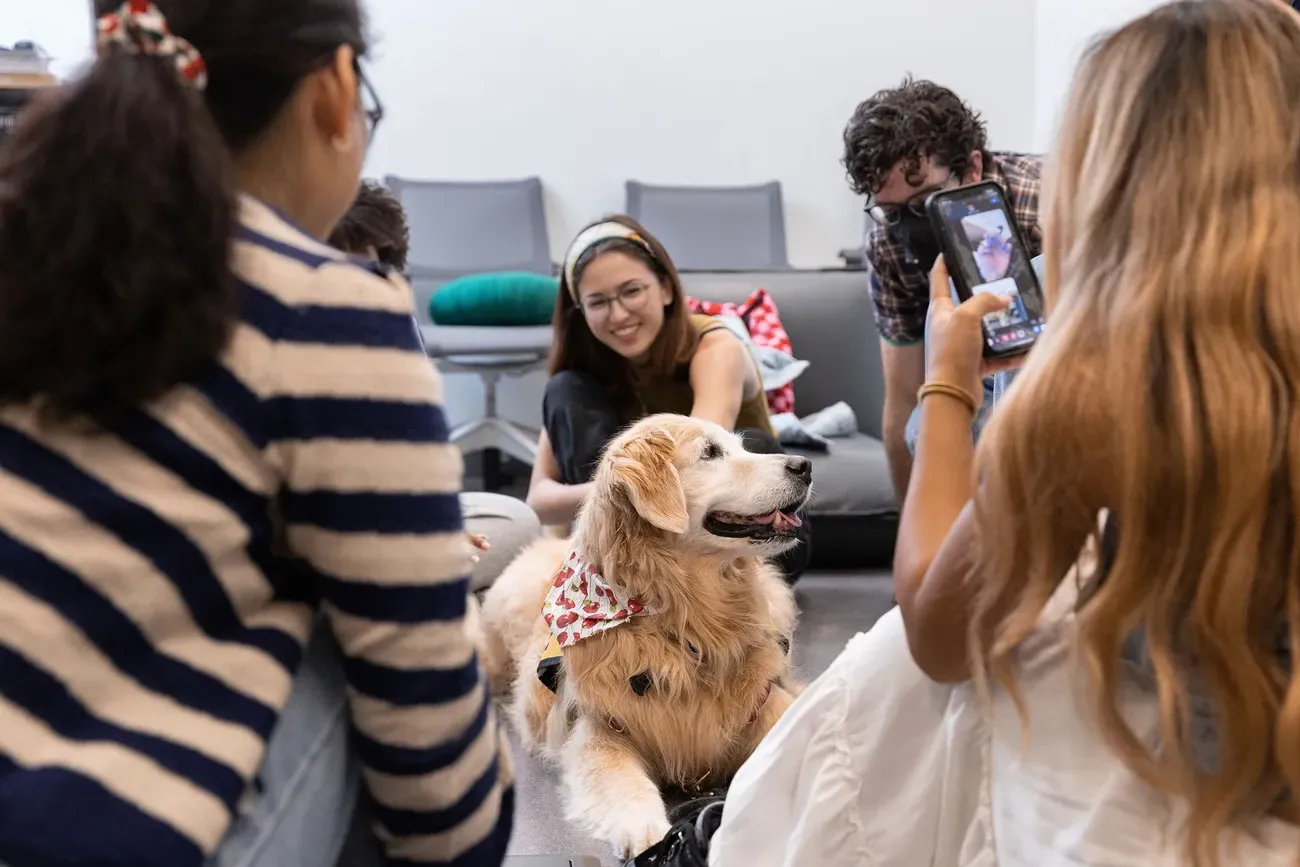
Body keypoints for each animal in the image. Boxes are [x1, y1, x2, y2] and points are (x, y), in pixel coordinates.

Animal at [480, 415, 811, 863]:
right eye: (710, 452)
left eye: (741, 447)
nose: (805, 465)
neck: (690, 622)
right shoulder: (599, 730)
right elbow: (625, 783)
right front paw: (649, 833)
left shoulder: (766, 704)